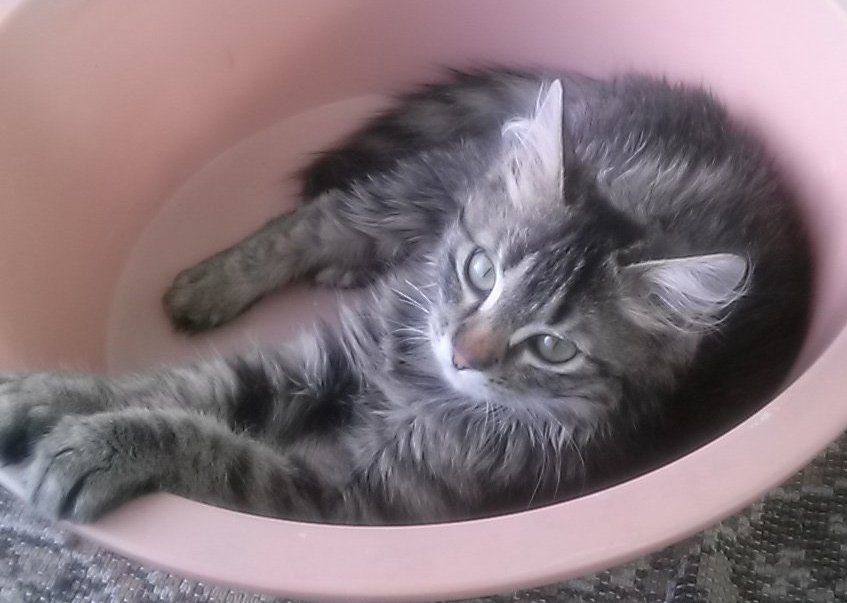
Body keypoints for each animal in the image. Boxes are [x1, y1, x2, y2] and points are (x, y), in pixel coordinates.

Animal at [0, 69, 811, 524]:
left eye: (553, 347)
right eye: (480, 271)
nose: (463, 351)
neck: (422, 385)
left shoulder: (354, 492)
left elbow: (210, 444)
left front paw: (95, 448)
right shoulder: (323, 357)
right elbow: (180, 386)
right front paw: (44, 397)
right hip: (417, 190)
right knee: (320, 218)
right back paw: (210, 284)